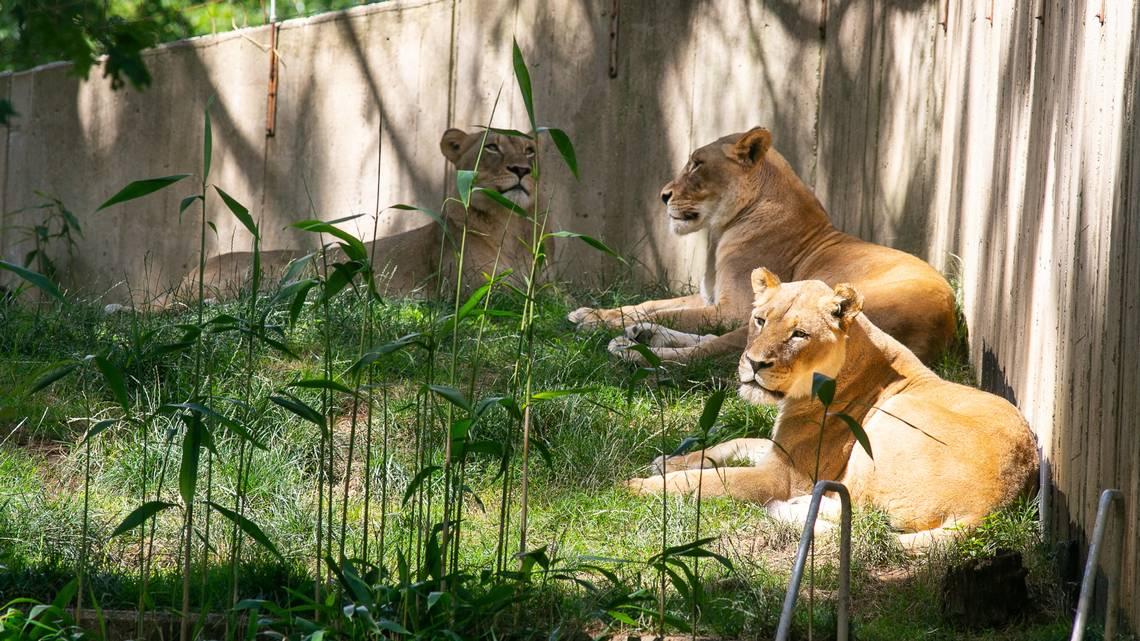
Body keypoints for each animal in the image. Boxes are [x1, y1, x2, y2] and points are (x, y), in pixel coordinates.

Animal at [133, 126, 538, 307]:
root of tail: (190, 276)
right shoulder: (467, 291)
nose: (522, 170)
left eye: (530, 150)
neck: (506, 226)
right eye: (492, 147)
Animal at [567, 125, 953, 364]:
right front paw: (592, 314)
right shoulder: (710, 299)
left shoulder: (732, 308)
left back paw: (632, 352)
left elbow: (669, 312)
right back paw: (641, 336)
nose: (663, 196)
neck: (722, 229)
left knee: (706, 354)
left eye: (697, 164)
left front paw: (595, 324)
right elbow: (650, 305)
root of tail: (942, 328)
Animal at [629, 268, 1039, 542]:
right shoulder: (779, 452)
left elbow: (710, 481)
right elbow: (734, 444)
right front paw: (667, 461)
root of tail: (993, 507)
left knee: (859, 511)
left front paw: (636, 486)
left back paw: (787, 508)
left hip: (886, 427)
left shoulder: (782, 476)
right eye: (759, 320)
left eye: (799, 334)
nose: (754, 364)